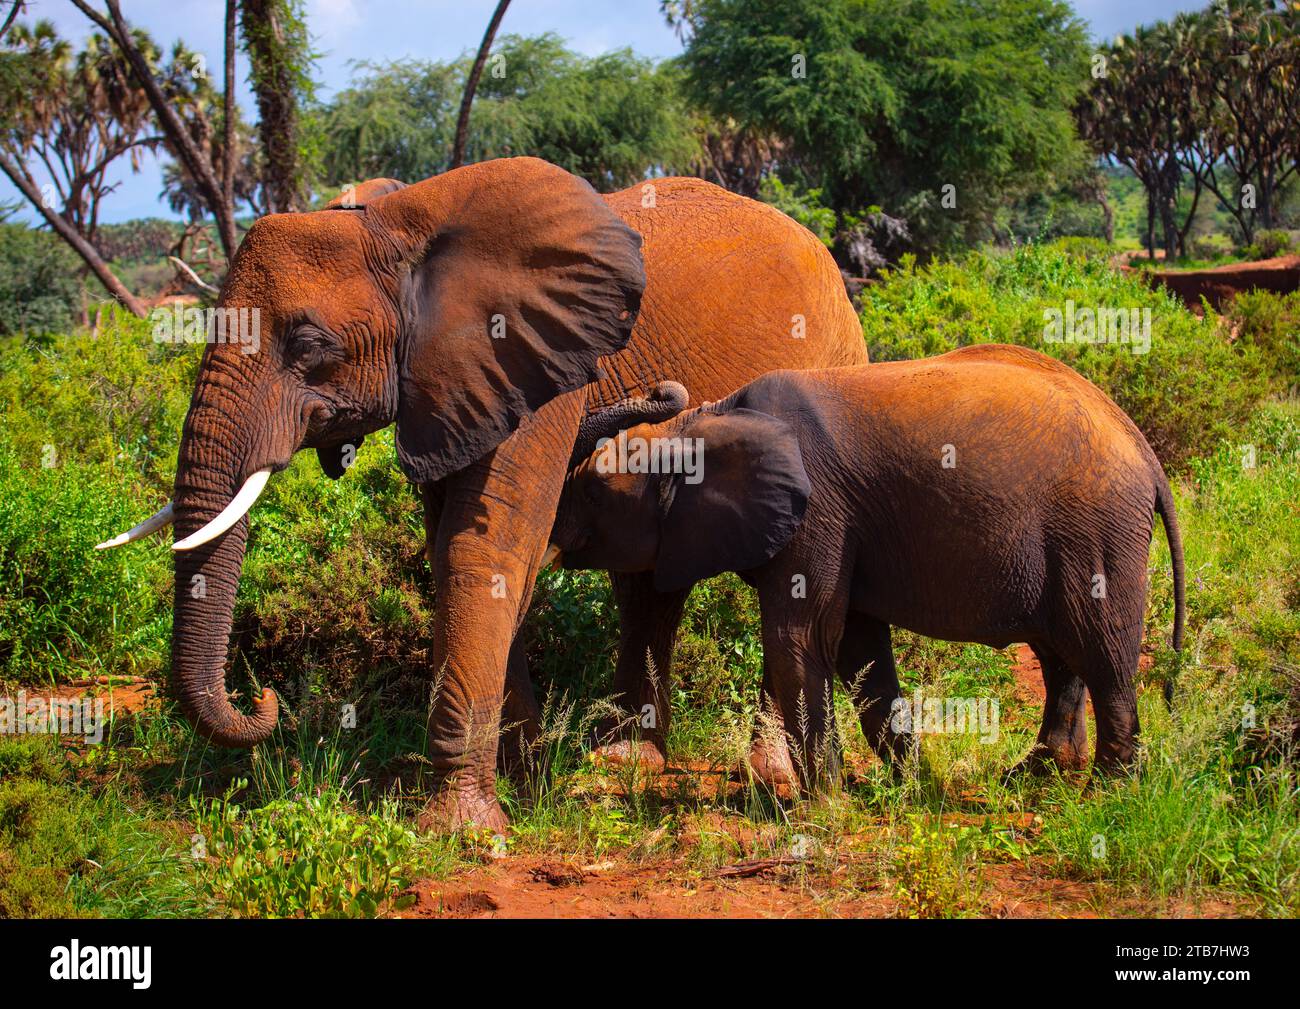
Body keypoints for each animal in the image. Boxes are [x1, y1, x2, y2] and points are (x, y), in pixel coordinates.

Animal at [101, 157, 868, 832]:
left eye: (309, 343)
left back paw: (769, 773)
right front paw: (527, 776)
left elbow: (484, 544)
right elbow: (460, 547)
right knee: (648, 582)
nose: (260, 699)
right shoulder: (455, 384)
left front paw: (464, 829)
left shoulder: (540, 365)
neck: (396, 225)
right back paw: (623, 760)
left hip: (831, 364)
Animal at [548, 343, 1190, 785]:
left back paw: (1110, 790)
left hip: (1097, 531)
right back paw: (1035, 776)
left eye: (593, 488)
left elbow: (799, 638)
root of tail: (1141, 446)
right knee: (1061, 654)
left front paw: (824, 801)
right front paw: (907, 787)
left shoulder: (819, 511)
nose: (663, 385)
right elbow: (860, 650)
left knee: (1102, 652)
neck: (706, 419)